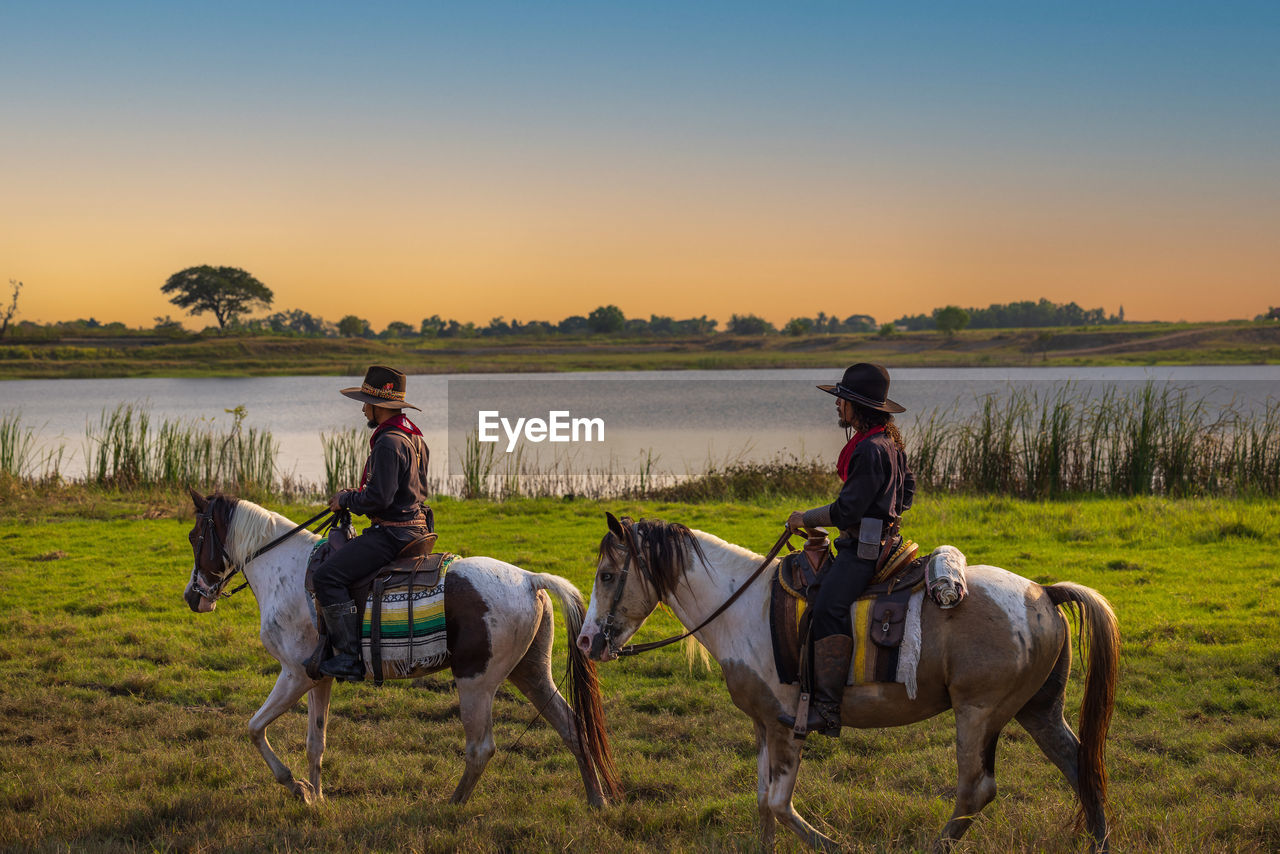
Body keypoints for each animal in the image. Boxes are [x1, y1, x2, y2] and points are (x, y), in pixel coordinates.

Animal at [181, 494, 619, 809]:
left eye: (193, 537)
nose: (192, 597)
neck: (283, 570)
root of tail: (529, 579)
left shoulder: (295, 675)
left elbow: (255, 728)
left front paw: (296, 788)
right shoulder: (319, 677)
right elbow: (315, 743)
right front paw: (316, 797)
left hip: (476, 682)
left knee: (481, 748)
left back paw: (452, 804)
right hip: (530, 673)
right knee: (572, 727)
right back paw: (597, 800)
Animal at [576, 514, 1116, 854]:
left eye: (607, 575)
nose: (584, 641)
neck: (742, 606)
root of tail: (1042, 592)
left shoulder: (786, 724)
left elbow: (779, 803)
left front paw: (837, 843)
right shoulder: (762, 725)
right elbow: (764, 804)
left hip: (979, 713)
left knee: (975, 790)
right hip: (1038, 709)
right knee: (1079, 765)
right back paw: (1099, 841)